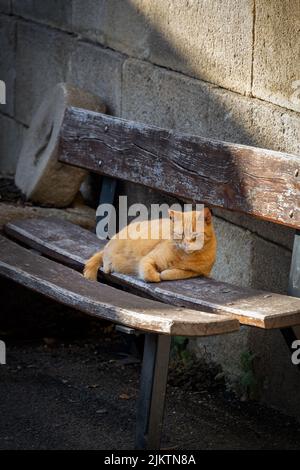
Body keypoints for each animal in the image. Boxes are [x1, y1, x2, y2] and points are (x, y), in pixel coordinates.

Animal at [83, 208, 217, 282]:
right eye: (181, 234)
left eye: (195, 234)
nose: (186, 244)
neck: (186, 257)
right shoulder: (149, 259)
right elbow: (148, 273)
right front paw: (157, 275)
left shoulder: (197, 273)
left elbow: (177, 273)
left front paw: (165, 273)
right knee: (105, 253)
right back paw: (108, 264)